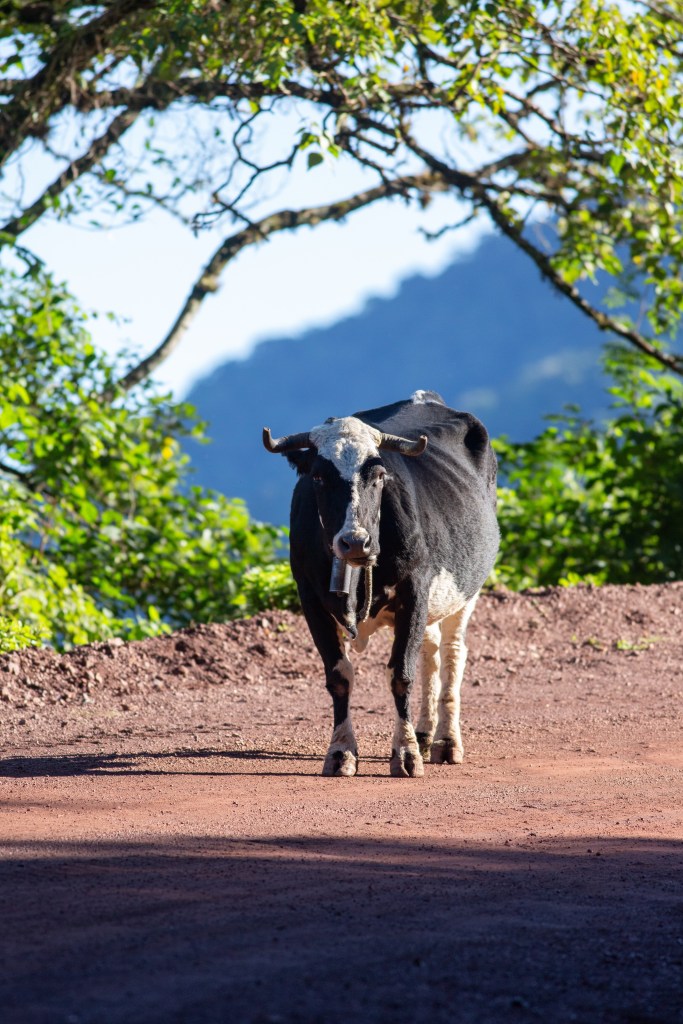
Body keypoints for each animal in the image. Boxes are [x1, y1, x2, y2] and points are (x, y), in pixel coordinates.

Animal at [263, 390, 499, 778]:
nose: (355, 542)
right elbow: (339, 675)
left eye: (378, 475)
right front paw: (341, 752)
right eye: (318, 477)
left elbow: (400, 673)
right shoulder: (310, 597)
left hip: (467, 591)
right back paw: (424, 733)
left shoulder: (415, 589)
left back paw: (446, 742)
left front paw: (405, 753)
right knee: (431, 652)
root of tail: (426, 397)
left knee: (452, 654)